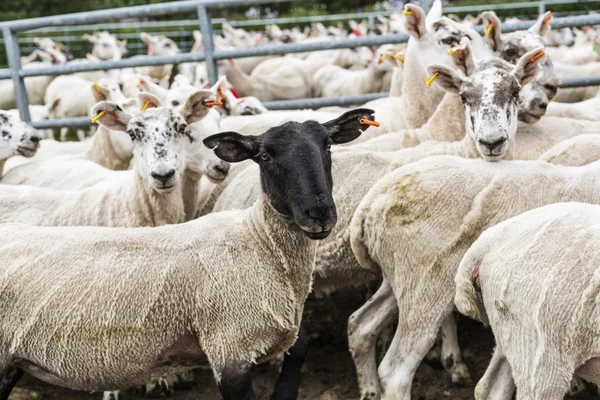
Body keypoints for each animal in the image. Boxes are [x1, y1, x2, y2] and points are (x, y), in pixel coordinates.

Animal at [0, 106, 372, 400]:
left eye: (327, 146)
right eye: (265, 157)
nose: (319, 214)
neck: (259, 242)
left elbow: (299, 353)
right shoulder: (230, 350)